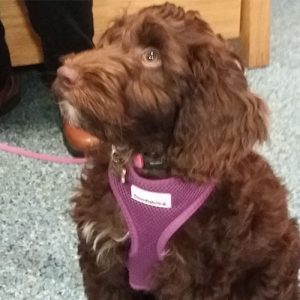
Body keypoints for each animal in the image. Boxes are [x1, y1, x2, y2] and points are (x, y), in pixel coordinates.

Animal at [52, 2, 298, 300]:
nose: (65, 74)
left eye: (152, 56)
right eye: (111, 40)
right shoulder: (103, 256)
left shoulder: (187, 277)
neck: (149, 164)